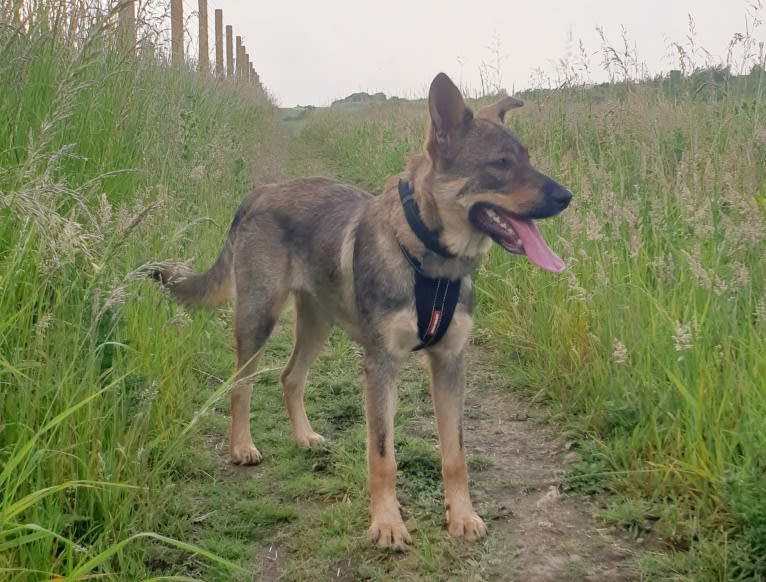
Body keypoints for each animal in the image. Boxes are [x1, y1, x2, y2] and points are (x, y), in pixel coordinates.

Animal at [152, 73, 568, 552]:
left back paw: (303, 436)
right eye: (500, 163)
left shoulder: (449, 363)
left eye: (527, 159)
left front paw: (461, 516)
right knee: (241, 385)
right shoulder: (381, 365)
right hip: (258, 319)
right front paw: (386, 524)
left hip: (317, 323)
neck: (429, 257)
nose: (567, 196)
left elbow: (455, 454)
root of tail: (261, 192)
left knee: (289, 377)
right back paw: (241, 447)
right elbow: (382, 455)